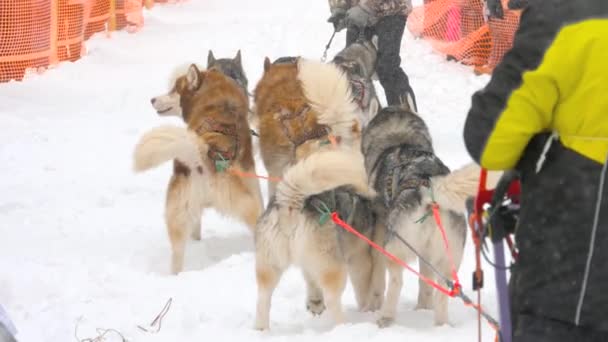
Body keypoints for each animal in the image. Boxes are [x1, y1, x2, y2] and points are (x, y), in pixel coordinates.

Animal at [360, 106, 498, 326]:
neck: (401, 141)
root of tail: (428, 189)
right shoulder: (425, 254)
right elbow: (425, 284)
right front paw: (423, 308)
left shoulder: (380, 239)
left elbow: (377, 282)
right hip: (446, 259)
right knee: (441, 293)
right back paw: (440, 325)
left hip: (394, 247)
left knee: (396, 282)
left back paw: (385, 318)